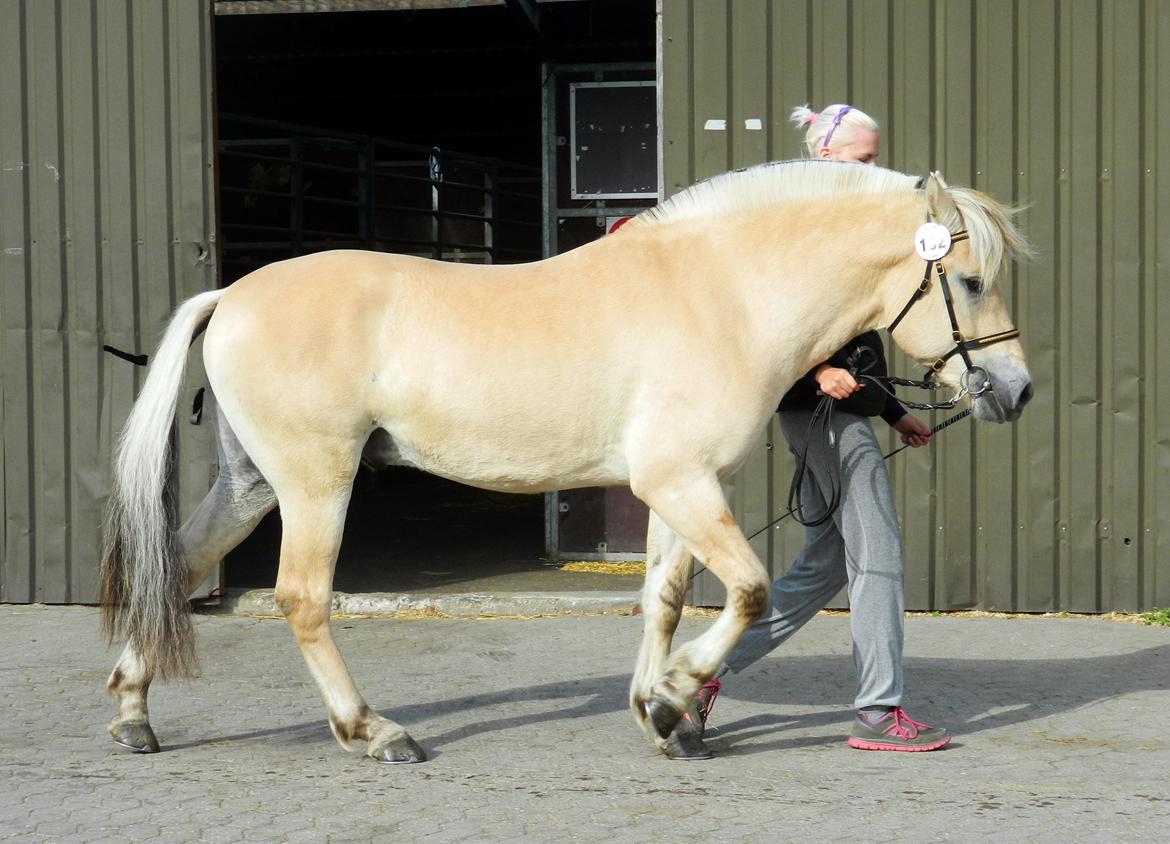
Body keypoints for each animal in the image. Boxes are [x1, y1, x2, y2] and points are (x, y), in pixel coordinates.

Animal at [100, 159, 1034, 763]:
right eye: (972, 281)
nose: (1015, 391)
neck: (725, 294)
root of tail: (232, 295)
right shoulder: (678, 482)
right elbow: (748, 590)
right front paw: (679, 694)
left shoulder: (683, 488)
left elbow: (663, 599)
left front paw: (659, 713)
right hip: (315, 482)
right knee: (300, 598)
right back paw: (375, 731)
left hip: (252, 482)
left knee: (180, 563)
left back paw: (135, 714)